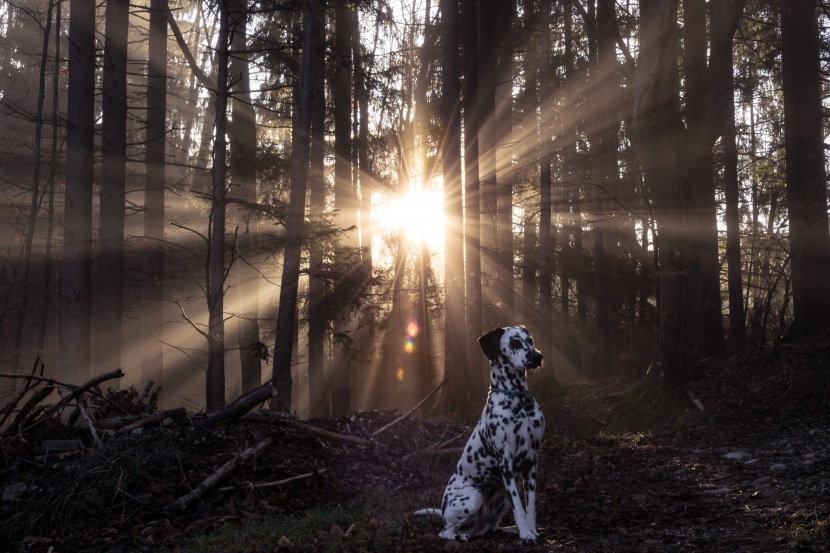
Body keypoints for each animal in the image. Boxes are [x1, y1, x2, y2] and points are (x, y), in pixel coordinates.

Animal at [416, 324, 544, 544]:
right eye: (514, 342)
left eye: (530, 340)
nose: (538, 356)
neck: (518, 399)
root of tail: (443, 511)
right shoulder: (506, 463)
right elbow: (519, 506)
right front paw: (527, 534)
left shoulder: (532, 462)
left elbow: (530, 506)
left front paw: (531, 530)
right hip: (474, 497)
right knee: (445, 532)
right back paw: (461, 536)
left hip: (500, 496)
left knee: (489, 528)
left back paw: (509, 529)